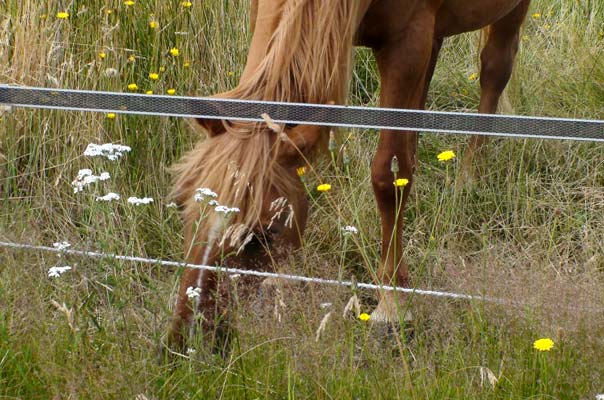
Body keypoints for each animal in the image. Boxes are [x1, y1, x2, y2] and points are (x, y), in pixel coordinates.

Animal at [165, 0, 528, 350]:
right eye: (183, 206)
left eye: (262, 236)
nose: (185, 341)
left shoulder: (406, 45)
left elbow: (387, 178)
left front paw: (392, 304)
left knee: (495, 68)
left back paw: (469, 177)